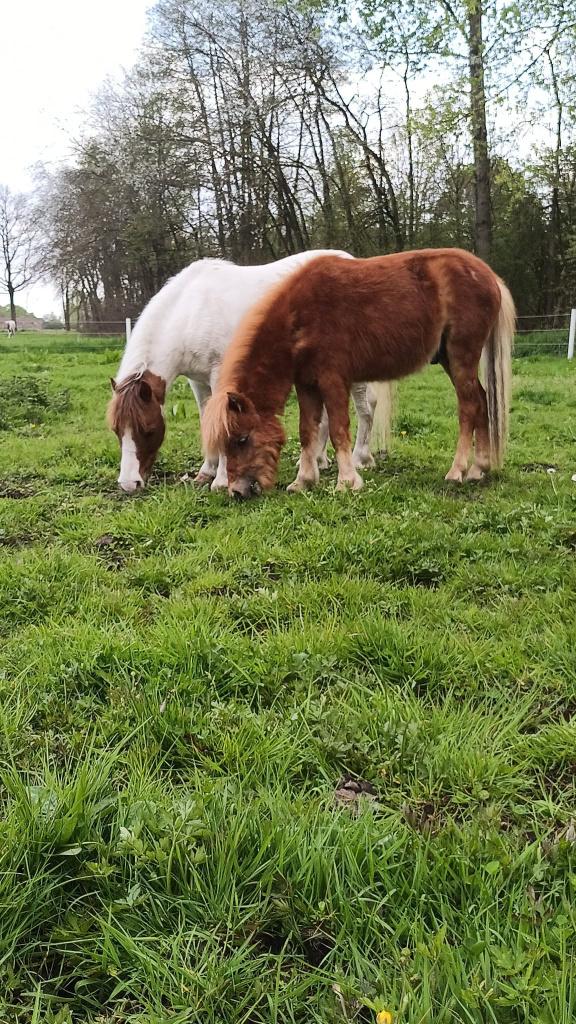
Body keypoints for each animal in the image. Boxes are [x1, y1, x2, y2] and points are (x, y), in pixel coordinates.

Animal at [108, 251, 391, 493]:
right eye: (117, 431)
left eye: (148, 430)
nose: (129, 484)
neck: (191, 313)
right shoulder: (197, 381)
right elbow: (206, 420)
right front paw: (205, 472)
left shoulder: (219, 375)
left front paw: (220, 481)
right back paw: (318, 461)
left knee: (366, 408)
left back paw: (361, 458)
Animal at [202, 247, 516, 499]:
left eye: (242, 439)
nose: (237, 492)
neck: (300, 317)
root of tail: (489, 276)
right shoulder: (306, 384)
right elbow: (307, 431)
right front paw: (304, 481)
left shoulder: (333, 380)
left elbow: (339, 429)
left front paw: (347, 482)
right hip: (449, 359)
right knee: (482, 401)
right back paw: (478, 469)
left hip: (462, 356)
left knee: (469, 406)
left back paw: (457, 471)